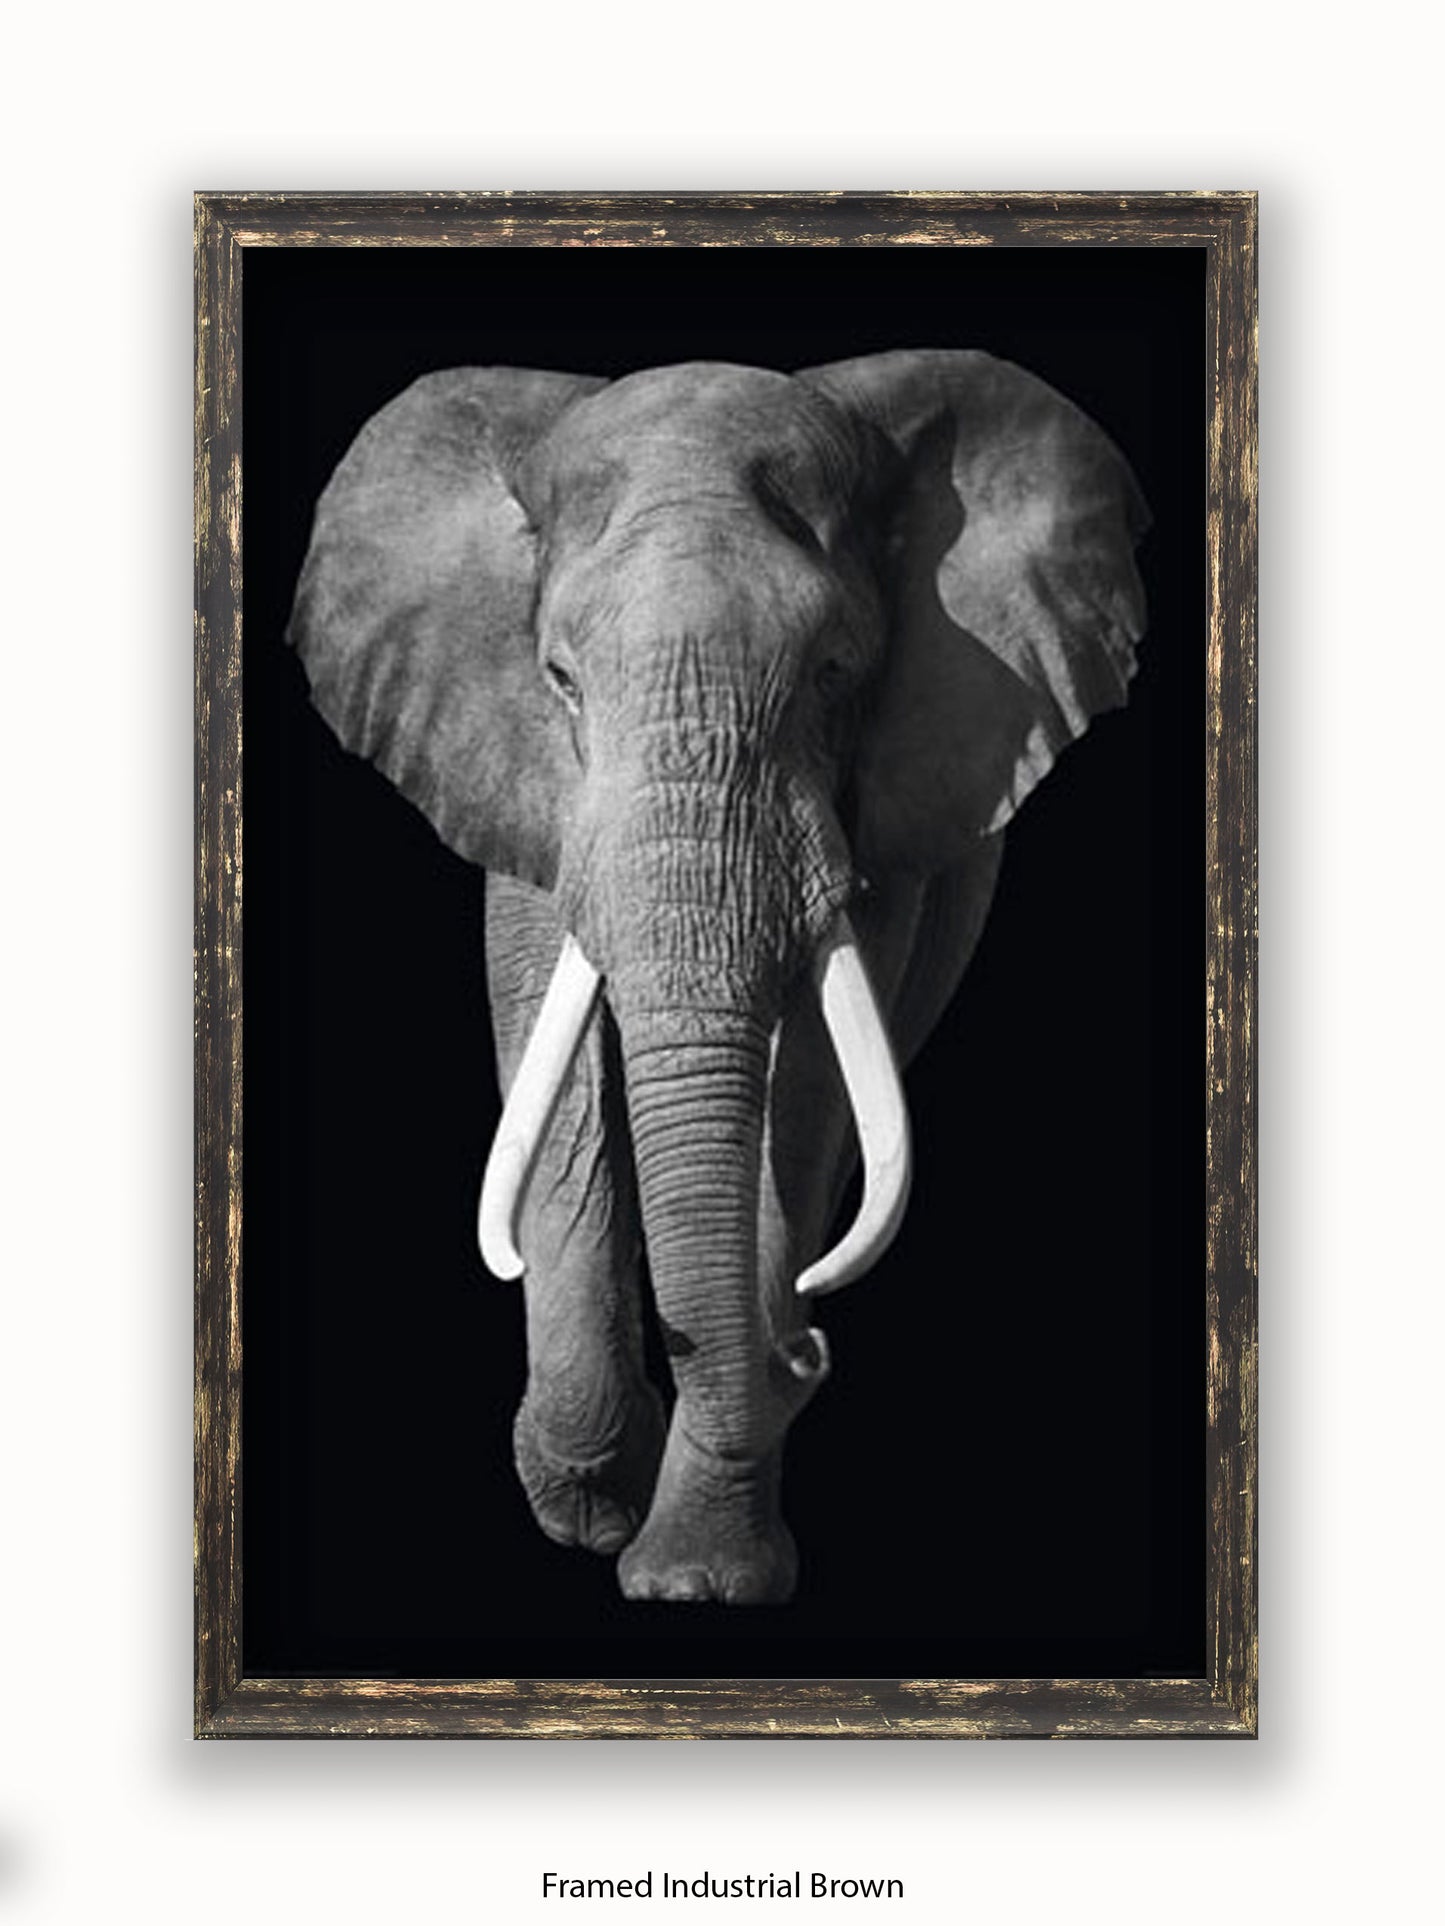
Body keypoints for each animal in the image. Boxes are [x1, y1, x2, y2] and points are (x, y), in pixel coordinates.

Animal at [287, 349, 1148, 1605]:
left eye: (836, 671)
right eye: (559, 678)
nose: (806, 1349)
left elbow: (804, 1090)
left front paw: (695, 1577)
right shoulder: (521, 777)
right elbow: (559, 1066)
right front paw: (592, 1500)